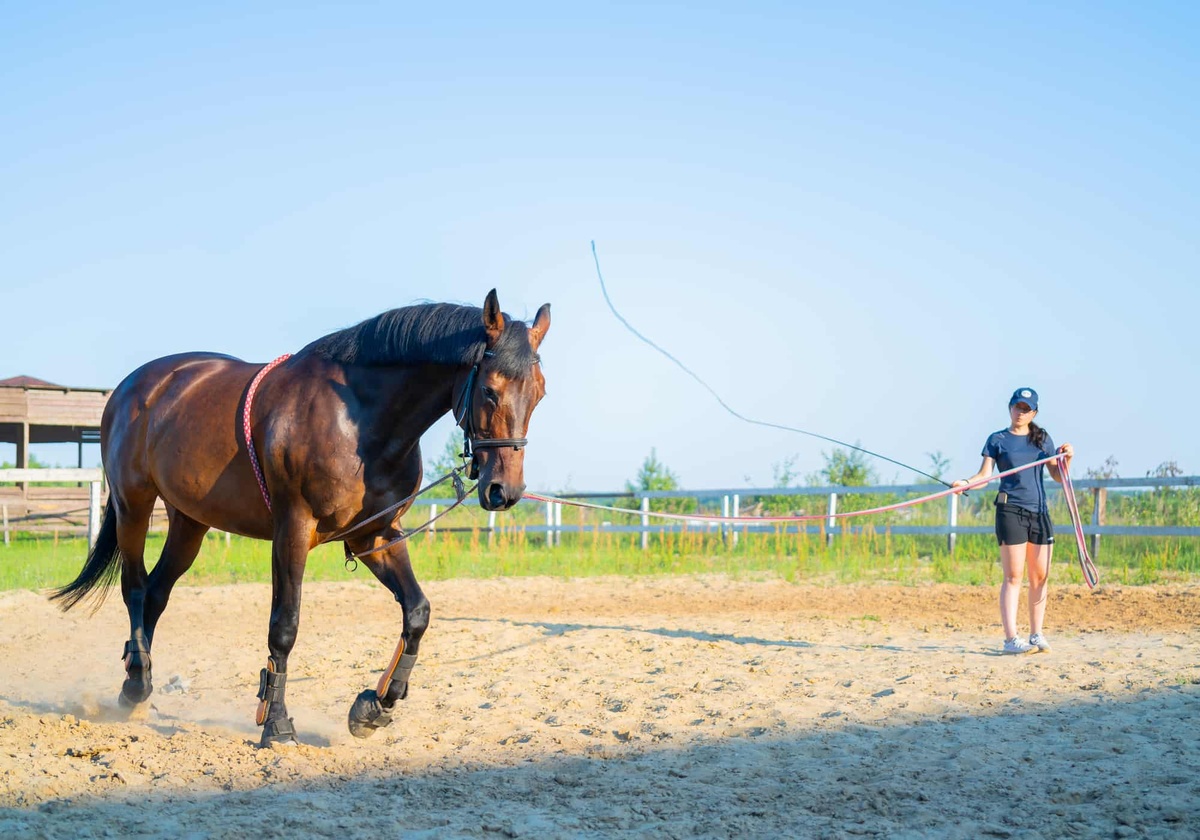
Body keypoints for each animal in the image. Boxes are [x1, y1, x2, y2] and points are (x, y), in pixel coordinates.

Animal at [51, 290, 549, 748]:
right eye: (490, 390)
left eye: (539, 393)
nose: (504, 491)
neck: (359, 420)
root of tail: (134, 386)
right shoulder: (292, 530)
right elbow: (284, 626)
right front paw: (276, 724)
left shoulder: (374, 536)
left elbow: (417, 612)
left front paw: (376, 705)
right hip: (134, 504)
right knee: (135, 588)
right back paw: (135, 683)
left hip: (190, 522)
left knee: (155, 593)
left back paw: (138, 690)